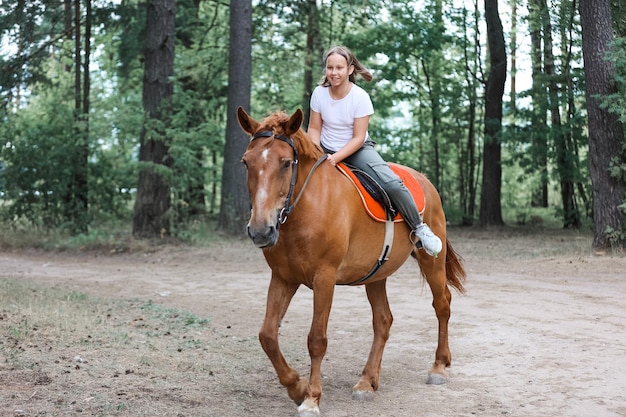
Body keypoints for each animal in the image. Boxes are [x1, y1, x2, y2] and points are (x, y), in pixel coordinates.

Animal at [235, 107, 464, 416]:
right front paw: (296, 387)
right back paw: (367, 382)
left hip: (431, 261)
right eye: (246, 162)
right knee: (383, 320)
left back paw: (439, 366)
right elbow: (268, 335)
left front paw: (311, 398)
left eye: (285, 163)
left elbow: (316, 340)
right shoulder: (283, 277)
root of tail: (424, 181)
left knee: (442, 305)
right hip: (377, 275)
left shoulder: (325, 278)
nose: (261, 230)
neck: (307, 208)